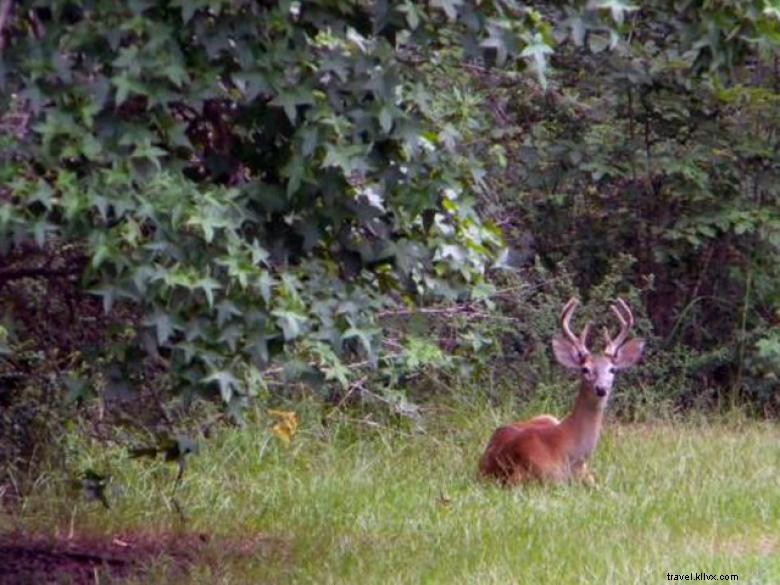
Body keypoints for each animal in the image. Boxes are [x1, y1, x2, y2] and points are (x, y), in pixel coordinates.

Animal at [478, 296, 644, 484]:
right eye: (585, 369)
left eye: (612, 369)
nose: (601, 388)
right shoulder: (521, 477)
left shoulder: (588, 475)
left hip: (548, 416)